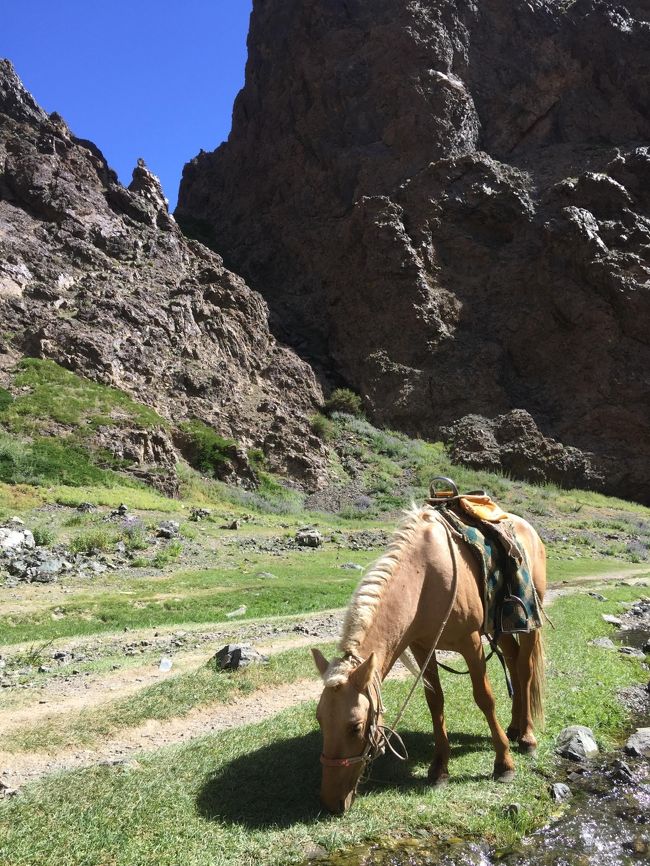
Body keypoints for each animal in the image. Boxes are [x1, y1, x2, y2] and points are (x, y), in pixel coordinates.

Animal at [312, 502, 544, 812]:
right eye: (320, 720)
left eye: (356, 726)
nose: (331, 801)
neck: (424, 579)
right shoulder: (422, 648)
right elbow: (435, 702)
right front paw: (439, 769)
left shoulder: (471, 642)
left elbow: (484, 698)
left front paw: (504, 764)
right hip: (501, 627)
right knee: (515, 666)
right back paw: (515, 728)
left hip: (527, 624)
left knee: (524, 670)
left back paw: (527, 738)